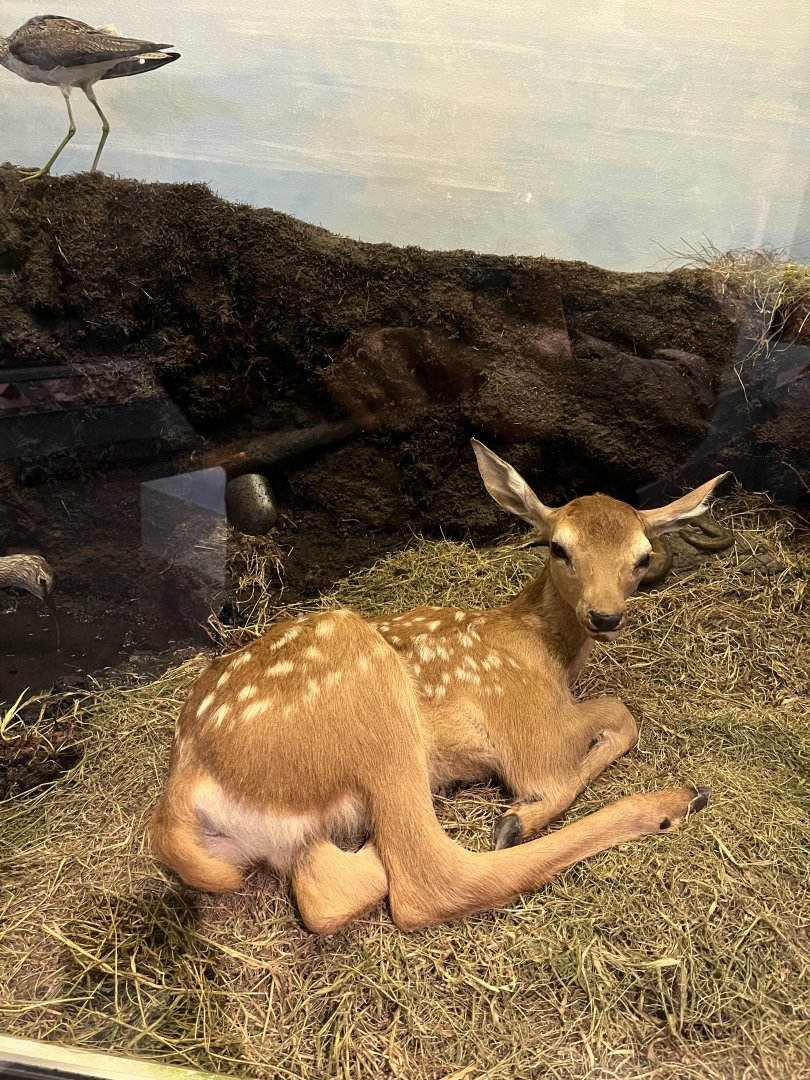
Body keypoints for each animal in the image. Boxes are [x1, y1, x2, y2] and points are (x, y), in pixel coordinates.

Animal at [150, 440, 729, 933]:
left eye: (641, 556)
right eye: (559, 548)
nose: (606, 616)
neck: (545, 651)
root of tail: (185, 781)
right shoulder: (530, 730)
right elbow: (615, 717)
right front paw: (519, 815)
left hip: (293, 833)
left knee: (329, 892)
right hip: (371, 695)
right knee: (427, 881)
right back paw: (671, 801)